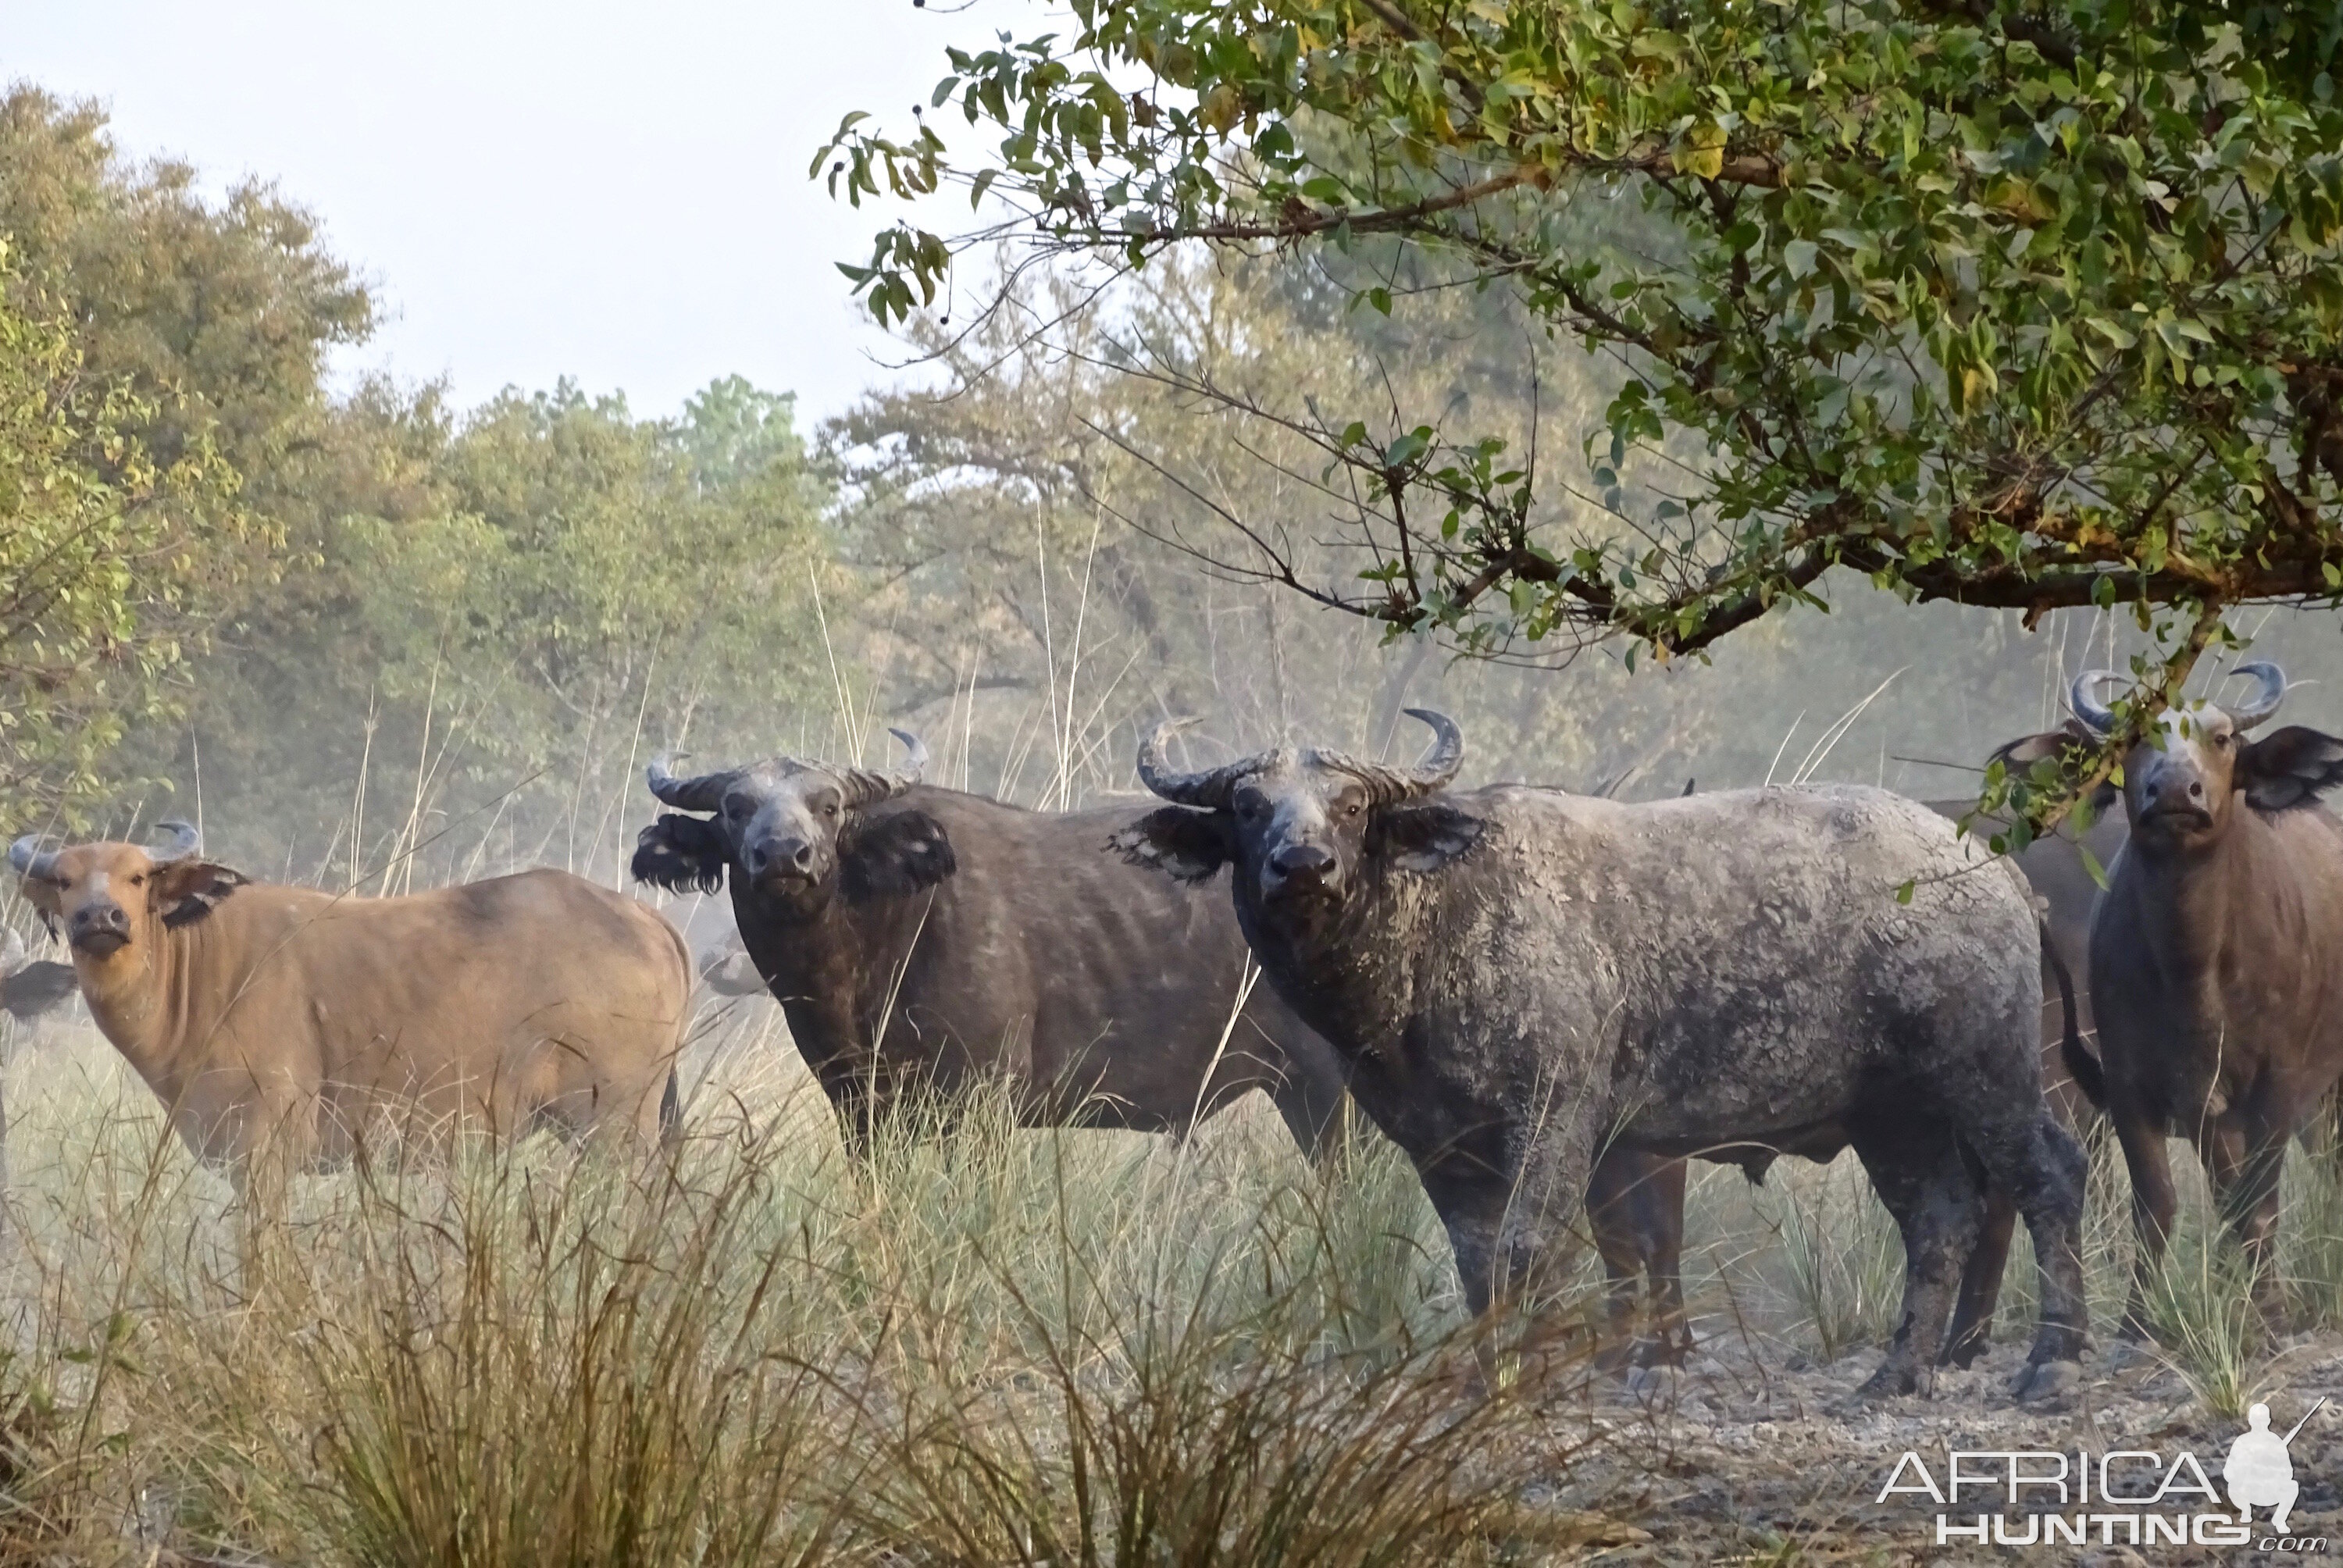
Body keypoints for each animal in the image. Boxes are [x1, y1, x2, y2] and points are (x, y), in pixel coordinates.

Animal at [9, 825, 689, 1181]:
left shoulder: (267, 1155)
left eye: (137, 877)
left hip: (617, 1130)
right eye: (64, 881)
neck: (196, 967)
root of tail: (646, 918)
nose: (101, 918)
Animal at [623, 731, 1359, 1148]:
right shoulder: (862, 1115)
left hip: (1329, 1095)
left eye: (828, 807)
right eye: (735, 808)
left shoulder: (981, 1105)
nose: (783, 855)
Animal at [1115, 707, 2090, 1396]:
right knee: (1940, 1216)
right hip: (1892, 1112)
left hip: (1987, 1072)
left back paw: (2052, 1362)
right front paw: (1488, 1377)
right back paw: (1897, 1373)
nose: (1303, 864)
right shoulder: (1436, 1142)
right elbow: (1477, 1263)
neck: (1432, 931)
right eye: (1248, 807)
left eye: (1352, 805)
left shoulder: (1557, 1116)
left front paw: (1534, 1377)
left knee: (2048, 1176)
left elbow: (1529, 1248)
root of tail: (1993, 867)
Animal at [1996, 661, 2343, 1331]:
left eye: (2223, 739)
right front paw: (2139, 1319)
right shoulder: (2133, 1089)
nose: (2178, 792)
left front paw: (2268, 1310)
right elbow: (2157, 1203)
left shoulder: (2278, 1086)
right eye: (2133, 740)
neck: (2195, 968)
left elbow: (2261, 1202)